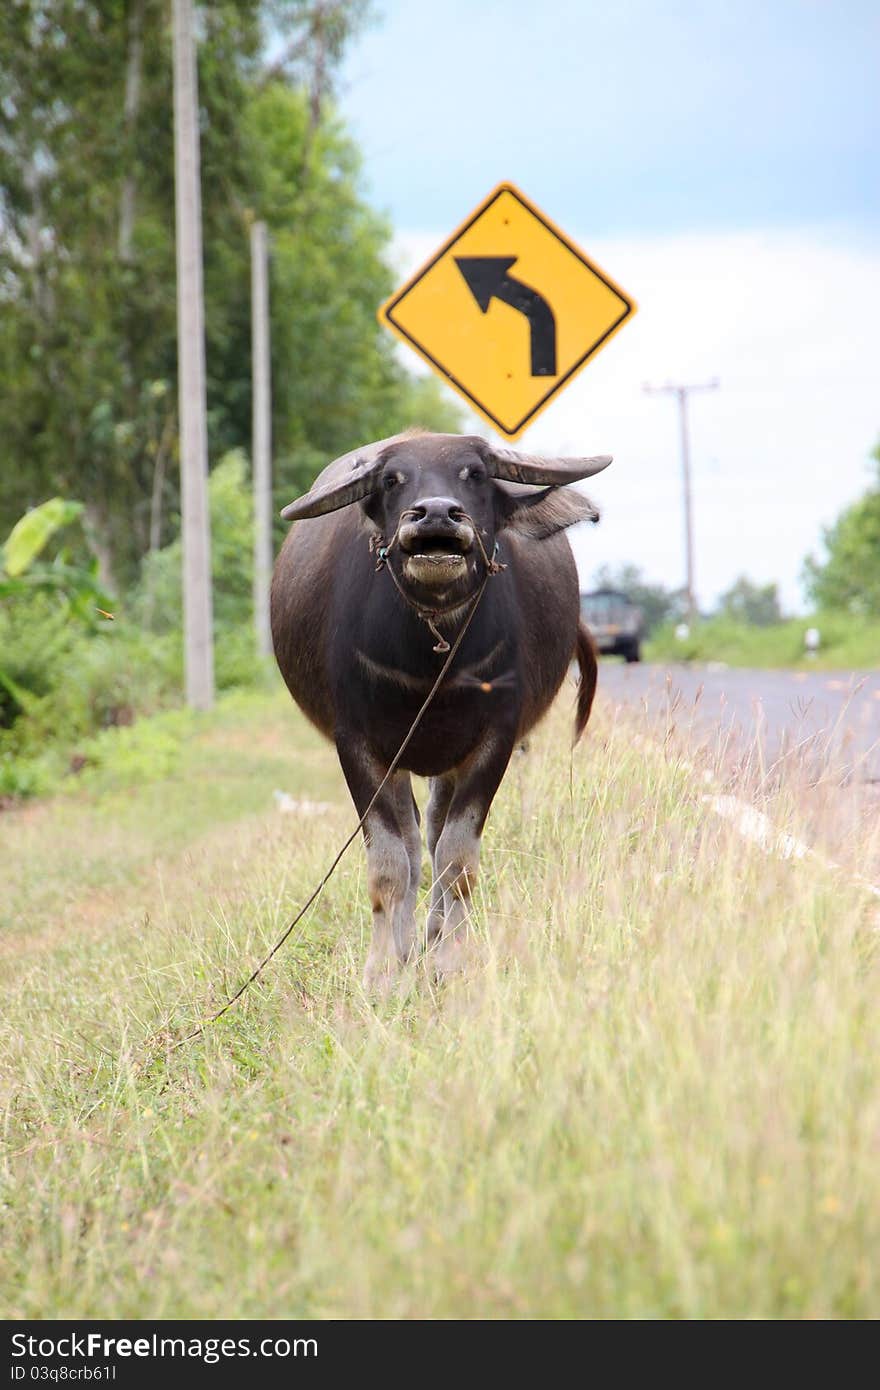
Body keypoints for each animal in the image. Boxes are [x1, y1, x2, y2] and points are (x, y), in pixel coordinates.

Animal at [269, 428, 611, 984]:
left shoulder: (494, 741)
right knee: (412, 844)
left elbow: (457, 860)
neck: (431, 659)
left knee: (430, 832)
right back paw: (408, 942)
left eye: (475, 474)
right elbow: (389, 863)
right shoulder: (359, 746)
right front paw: (383, 971)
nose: (434, 514)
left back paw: (431, 933)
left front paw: (450, 961)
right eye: (392, 480)